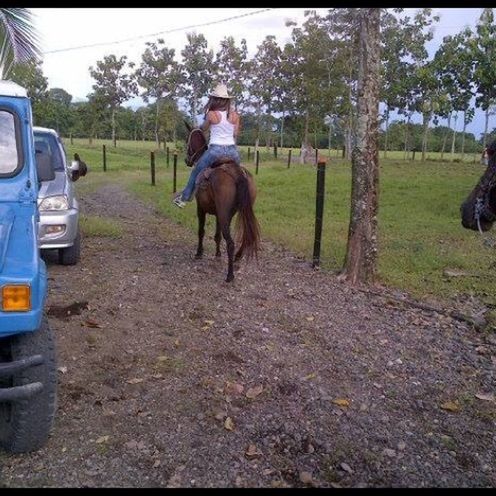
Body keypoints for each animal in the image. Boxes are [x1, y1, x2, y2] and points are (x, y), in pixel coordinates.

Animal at [184, 121, 262, 280]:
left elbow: (201, 231)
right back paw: (237, 257)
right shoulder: (219, 214)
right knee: (245, 237)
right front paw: (218, 254)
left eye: (187, 140)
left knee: (231, 243)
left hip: (225, 214)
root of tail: (237, 173)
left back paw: (230, 275)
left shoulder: (201, 208)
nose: (187, 160)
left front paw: (199, 253)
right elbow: (217, 236)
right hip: (238, 212)